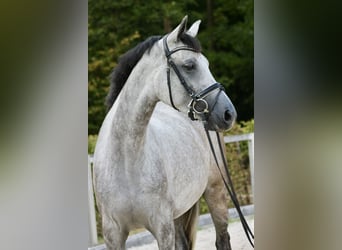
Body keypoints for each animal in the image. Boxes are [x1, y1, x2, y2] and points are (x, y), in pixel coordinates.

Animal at [93, 16, 238, 249]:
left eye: (207, 64)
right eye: (189, 65)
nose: (228, 114)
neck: (127, 161)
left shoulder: (162, 228)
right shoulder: (113, 234)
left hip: (215, 192)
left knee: (222, 239)